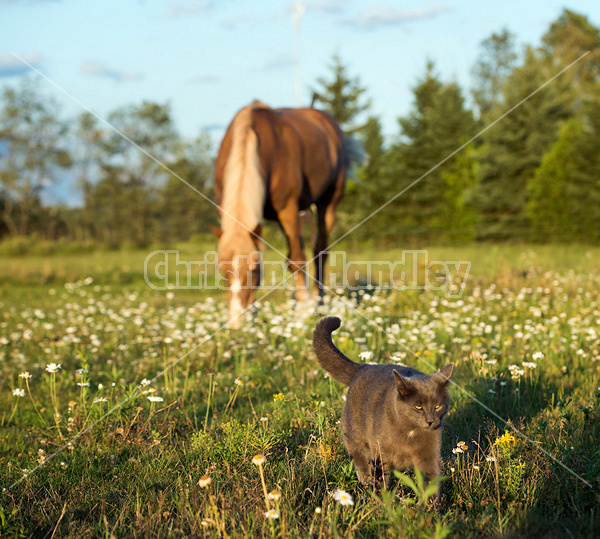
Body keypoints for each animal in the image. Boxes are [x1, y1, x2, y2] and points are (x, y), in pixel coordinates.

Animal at [213, 102, 346, 330]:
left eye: (253, 271)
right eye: (223, 270)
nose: (237, 323)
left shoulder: (288, 209)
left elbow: (298, 261)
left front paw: (302, 312)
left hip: (326, 205)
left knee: (320, 251)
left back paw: (318, 303)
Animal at [312, 316, 452, 498]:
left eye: (437, 406)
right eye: (418, 407)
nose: (430, 421)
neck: (410, 432)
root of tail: (365, 366)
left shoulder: (429, 457)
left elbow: (430, 484)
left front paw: (428, 505)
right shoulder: (380, 454)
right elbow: (379, 480)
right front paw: (381, 502)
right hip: (354, 428)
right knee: (356, 452)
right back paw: (365, 478)